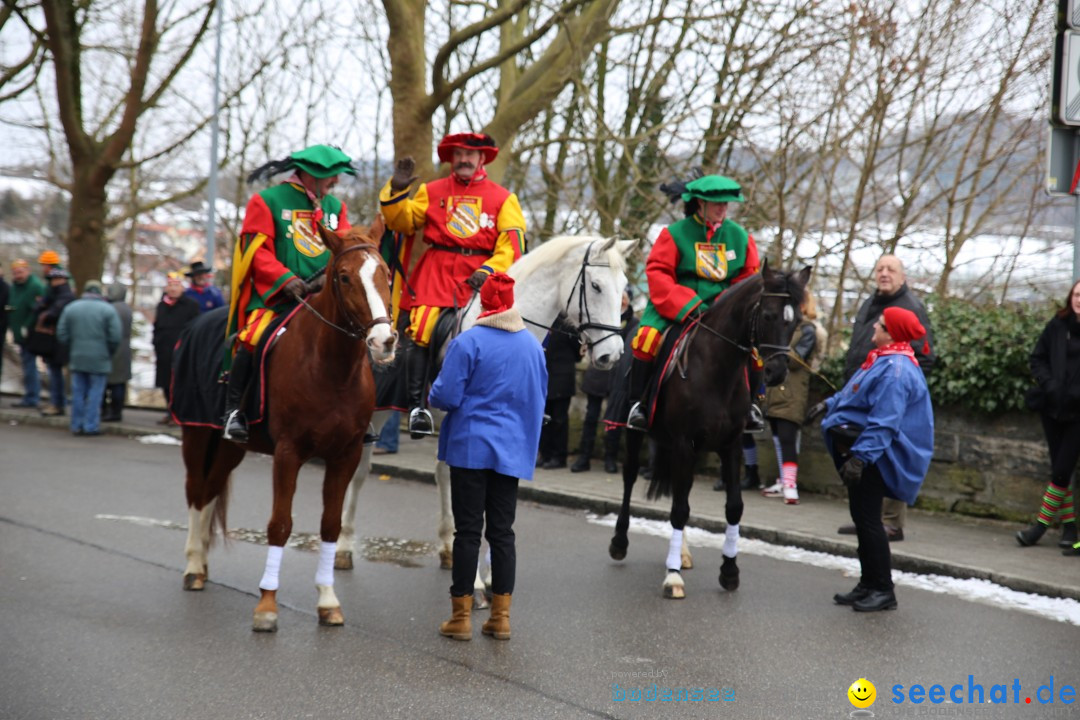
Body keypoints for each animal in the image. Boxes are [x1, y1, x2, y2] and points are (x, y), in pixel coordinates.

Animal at [179, 218, 399, 630]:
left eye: (386, 274)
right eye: (344, 277)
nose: (384, 341)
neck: (332, 369)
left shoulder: (344, 455)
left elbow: (330, 524)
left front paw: (327, 600)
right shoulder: (287, 453)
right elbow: (280, 524)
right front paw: (267, 604)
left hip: (230, 448)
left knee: (211, 489)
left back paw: (201, 563)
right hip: (196, 434)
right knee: (197, 493)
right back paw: (192, 566)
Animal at [336, 236, 635, 604]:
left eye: (624, 287)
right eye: (595, 286)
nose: (612, 355)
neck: (507, 328)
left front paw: (491, 576)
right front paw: (477, 583)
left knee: (441, 475)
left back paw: (447, 548)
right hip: (376, 415)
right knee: (361, 473)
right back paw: (344, 546)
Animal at [609, 262, 812, 600]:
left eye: (795, 320)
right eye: (768, 316)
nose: (776, 372)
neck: (718, 369)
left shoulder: (730, 445)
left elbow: (733, 507)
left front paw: (729, 570)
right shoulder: (683, 443)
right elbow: (679, 509)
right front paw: (673, 577)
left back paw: (682, 552)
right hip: (637, 433)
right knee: (629, 480)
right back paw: (620, 542)